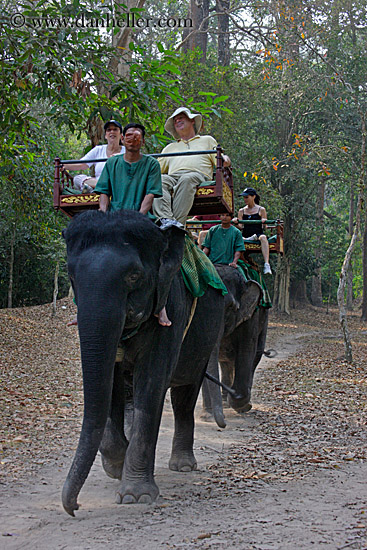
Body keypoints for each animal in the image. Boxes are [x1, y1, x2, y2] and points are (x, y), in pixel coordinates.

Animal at [61, 210, 226, 516]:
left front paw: (135, 496)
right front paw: (116, 465)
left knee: (184, 396)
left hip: (205, 340)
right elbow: (110, 386)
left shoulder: (171, 307)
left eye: (134, 276)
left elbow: (150, 384)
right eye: (71, 275)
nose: (74, 506)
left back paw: (183, 466)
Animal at [201, 266, 270, 430]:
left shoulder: (252, 315)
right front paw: (207, 416)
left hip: (264, 320)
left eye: (231, 307)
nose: (223, 424)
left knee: (255, 357)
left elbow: (246, 350)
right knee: (226, 363)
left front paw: (241, 404)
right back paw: (225, 401)